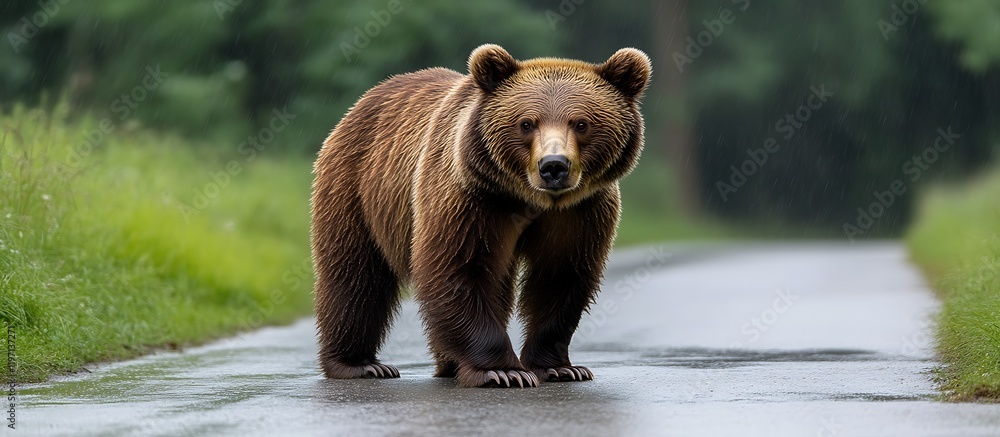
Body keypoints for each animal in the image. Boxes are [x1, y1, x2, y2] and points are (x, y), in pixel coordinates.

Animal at [311, 44, 650, 388]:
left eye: (581, 123)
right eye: (526, 123)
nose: (554, 166)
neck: (530, 199)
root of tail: (364, 100)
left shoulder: (580, 211)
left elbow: (561, 275)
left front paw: (560, 367)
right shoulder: (472, 198)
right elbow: (458, 268)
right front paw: (503, 371)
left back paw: (447, 363)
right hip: (356, 187)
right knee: (355, 275)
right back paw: (360, 364)